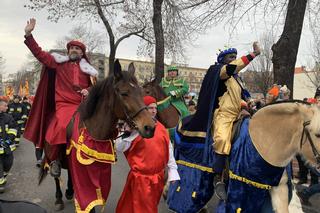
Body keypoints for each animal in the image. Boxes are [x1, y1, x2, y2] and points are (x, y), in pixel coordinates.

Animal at [40, 60, 156, 212]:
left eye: (141, 93)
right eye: (124, 93)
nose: (150, 127)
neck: (94, 133)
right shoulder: (83, 175)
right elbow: (88, 200)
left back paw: (70, 191)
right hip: (50, 154)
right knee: (55, 175)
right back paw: (59, 197)